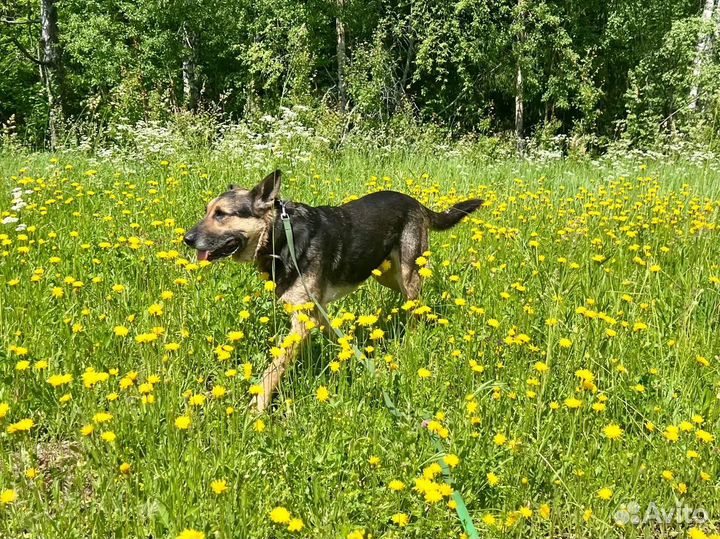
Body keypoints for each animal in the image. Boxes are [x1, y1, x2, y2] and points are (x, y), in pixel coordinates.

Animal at [183, 171, 480, 412]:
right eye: (208, 211)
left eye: (221, 214)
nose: (186, 239)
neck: (281, 236)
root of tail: (416, 202)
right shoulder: (315, 312)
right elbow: (335, 337)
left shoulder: (302, 322)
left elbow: (274, 368)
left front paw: (258, 407)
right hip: (386, 274)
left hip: (408, 273)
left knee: (416, 305)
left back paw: (413, 338)